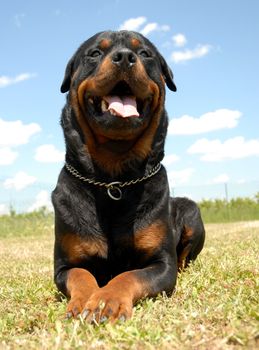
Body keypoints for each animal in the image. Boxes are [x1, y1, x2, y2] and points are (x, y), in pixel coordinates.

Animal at [51, 30, 206, 322]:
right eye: (95, 53)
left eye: (145, 53)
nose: (124, 57)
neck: (114, 180)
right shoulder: (63, 265)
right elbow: (81, 274)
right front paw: (84, 301)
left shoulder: (161, 263)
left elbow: (129, 275)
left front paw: (106, 300)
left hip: (191, 211)